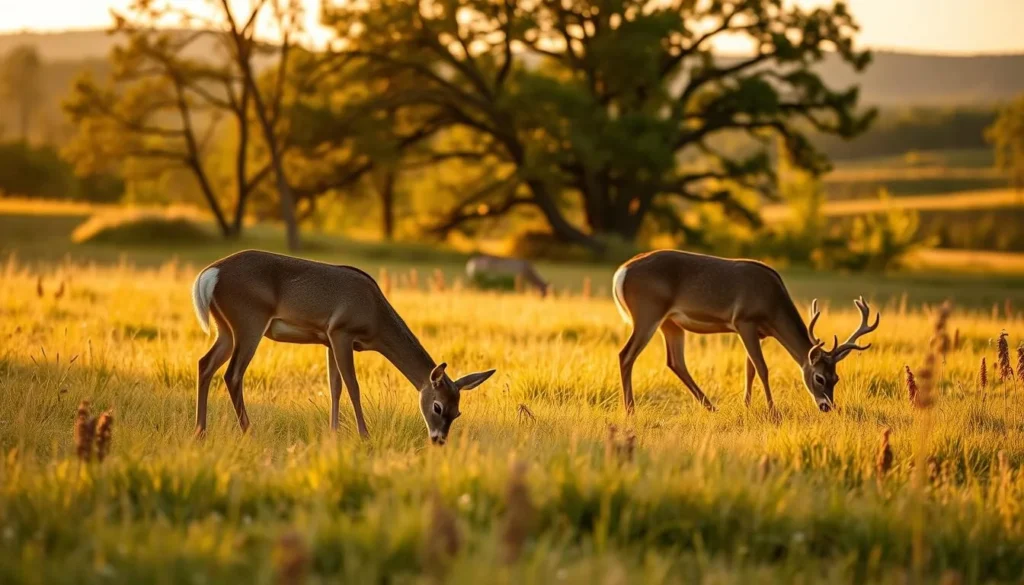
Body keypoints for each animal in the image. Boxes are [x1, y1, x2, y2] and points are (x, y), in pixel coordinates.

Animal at [191, 250, 496, 444]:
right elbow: (353, 385)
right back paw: (248, 431)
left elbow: (334, 386)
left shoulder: (327, 338)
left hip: (225, 328)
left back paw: (200, 432)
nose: (439, 440)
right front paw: (364, 435)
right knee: (232, 374)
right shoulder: (341, 331)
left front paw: (333, 433)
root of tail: (209, 275)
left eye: (457, 412)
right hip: (249, 320)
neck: (375, 319)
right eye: (437, 407)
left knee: (205, 364)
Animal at [611, 250, 879, 416]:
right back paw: (630, 410)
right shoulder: (744, 321)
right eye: (819, 378)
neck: (772, 307)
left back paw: (711, 408)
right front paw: (773, 411)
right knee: (626, 355)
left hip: (671, 323)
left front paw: (747, 407)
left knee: (675, 361)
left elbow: (749, 369)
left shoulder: (758, 332)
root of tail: (620, 273)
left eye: (836, 378)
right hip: (648, 311)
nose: (827, 406)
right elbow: (762, 368)